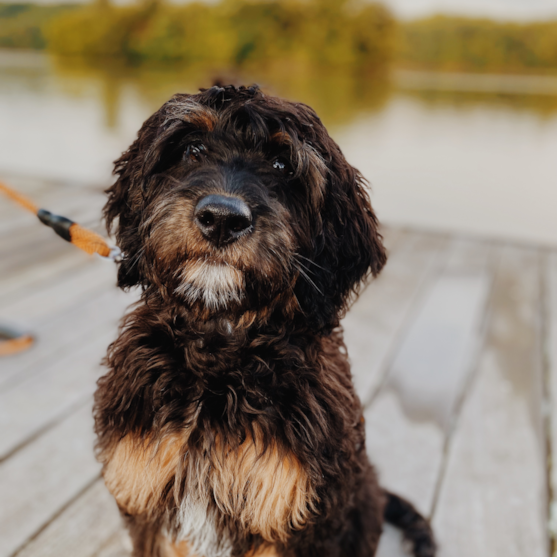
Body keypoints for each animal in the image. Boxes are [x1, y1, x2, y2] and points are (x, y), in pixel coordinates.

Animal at [94, 83, 434, 556]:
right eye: (191, 149)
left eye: (281, 164)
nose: (222, 218)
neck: (219, 366)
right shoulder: (146, 493)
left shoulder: (293, 517)